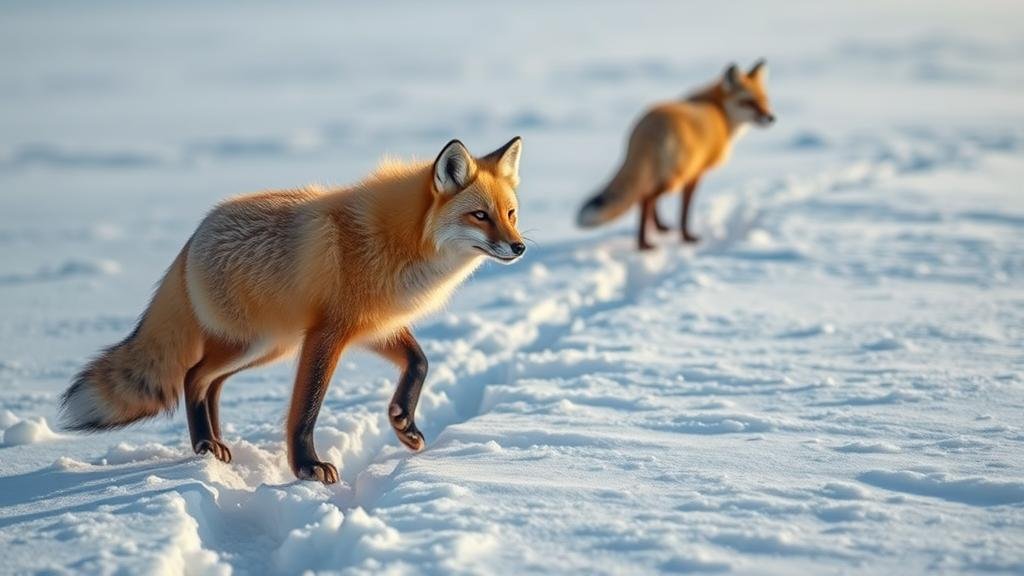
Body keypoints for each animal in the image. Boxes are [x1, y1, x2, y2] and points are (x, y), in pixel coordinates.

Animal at [61, 136, 528, 481]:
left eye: (511, 214)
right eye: (480, 216)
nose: (519, 247)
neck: (401, 242)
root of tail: (193, 237)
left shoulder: (372, 327)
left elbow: (420, 363)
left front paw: (403, 423)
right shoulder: (328, 333)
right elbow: (306, 408)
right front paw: (307, 468)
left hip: (269, 346)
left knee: (209, 383)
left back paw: (217, 445)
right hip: (256, 342)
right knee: (193, 376)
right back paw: (204, 445)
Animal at [577, 60, 774, 249]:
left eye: (765, 100)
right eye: (750, 102)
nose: (771, 118)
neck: (719, 112)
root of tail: (646, 128)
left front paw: (661, 228)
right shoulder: (695, 173)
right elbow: (685, 212)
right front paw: (687, 237)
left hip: (661, 175)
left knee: (645, 196)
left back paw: (651, 235)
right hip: (675, 178)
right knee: (646, 198)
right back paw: (643, 245)